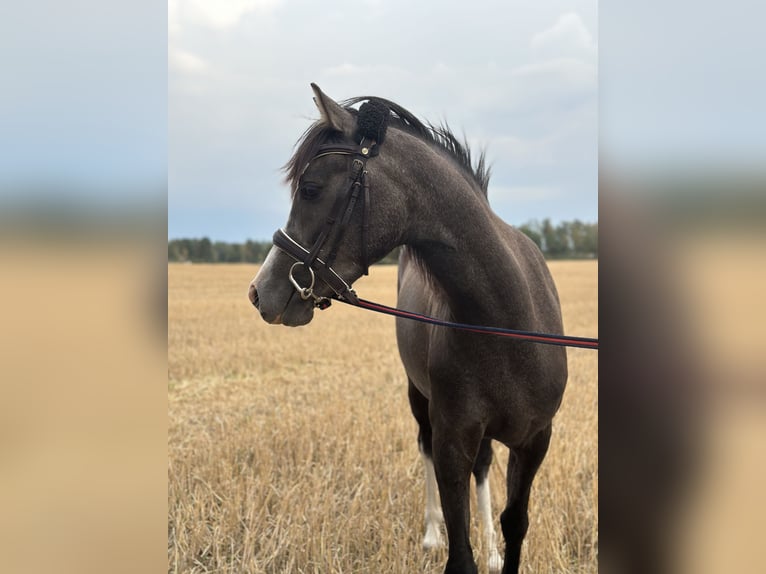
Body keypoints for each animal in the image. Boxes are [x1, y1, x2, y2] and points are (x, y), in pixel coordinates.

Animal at [249, 84, 568, 574]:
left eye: (310, 188)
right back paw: (431, 533)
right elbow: (459, 547)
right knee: (425, 447)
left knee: (483, 468)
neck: (506, 322)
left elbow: (516, 522)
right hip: (418, 397)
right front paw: (447, 537)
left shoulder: (535, 441)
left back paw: (490, 546)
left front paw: (497, 549)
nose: (261, 291)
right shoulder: (452, 438)